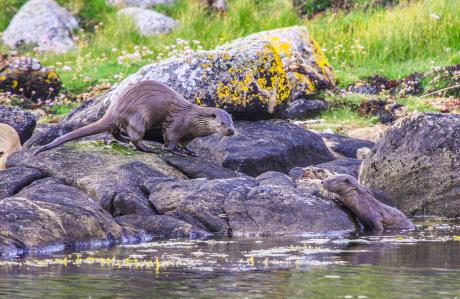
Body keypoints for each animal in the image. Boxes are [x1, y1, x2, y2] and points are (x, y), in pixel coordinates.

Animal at [34, 79, 235, 157]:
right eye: (222, 123)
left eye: (232, 122)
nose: (231, 130)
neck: (193, 119)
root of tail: (114, 108)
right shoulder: (177, 125)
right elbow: (170, 140)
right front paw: (175, 151)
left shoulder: (190, 134)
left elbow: (185, 143)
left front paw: (190, 151)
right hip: (139, 117)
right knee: (136, 137)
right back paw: (147, 149)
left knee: (114, 131)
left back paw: (123, 139)